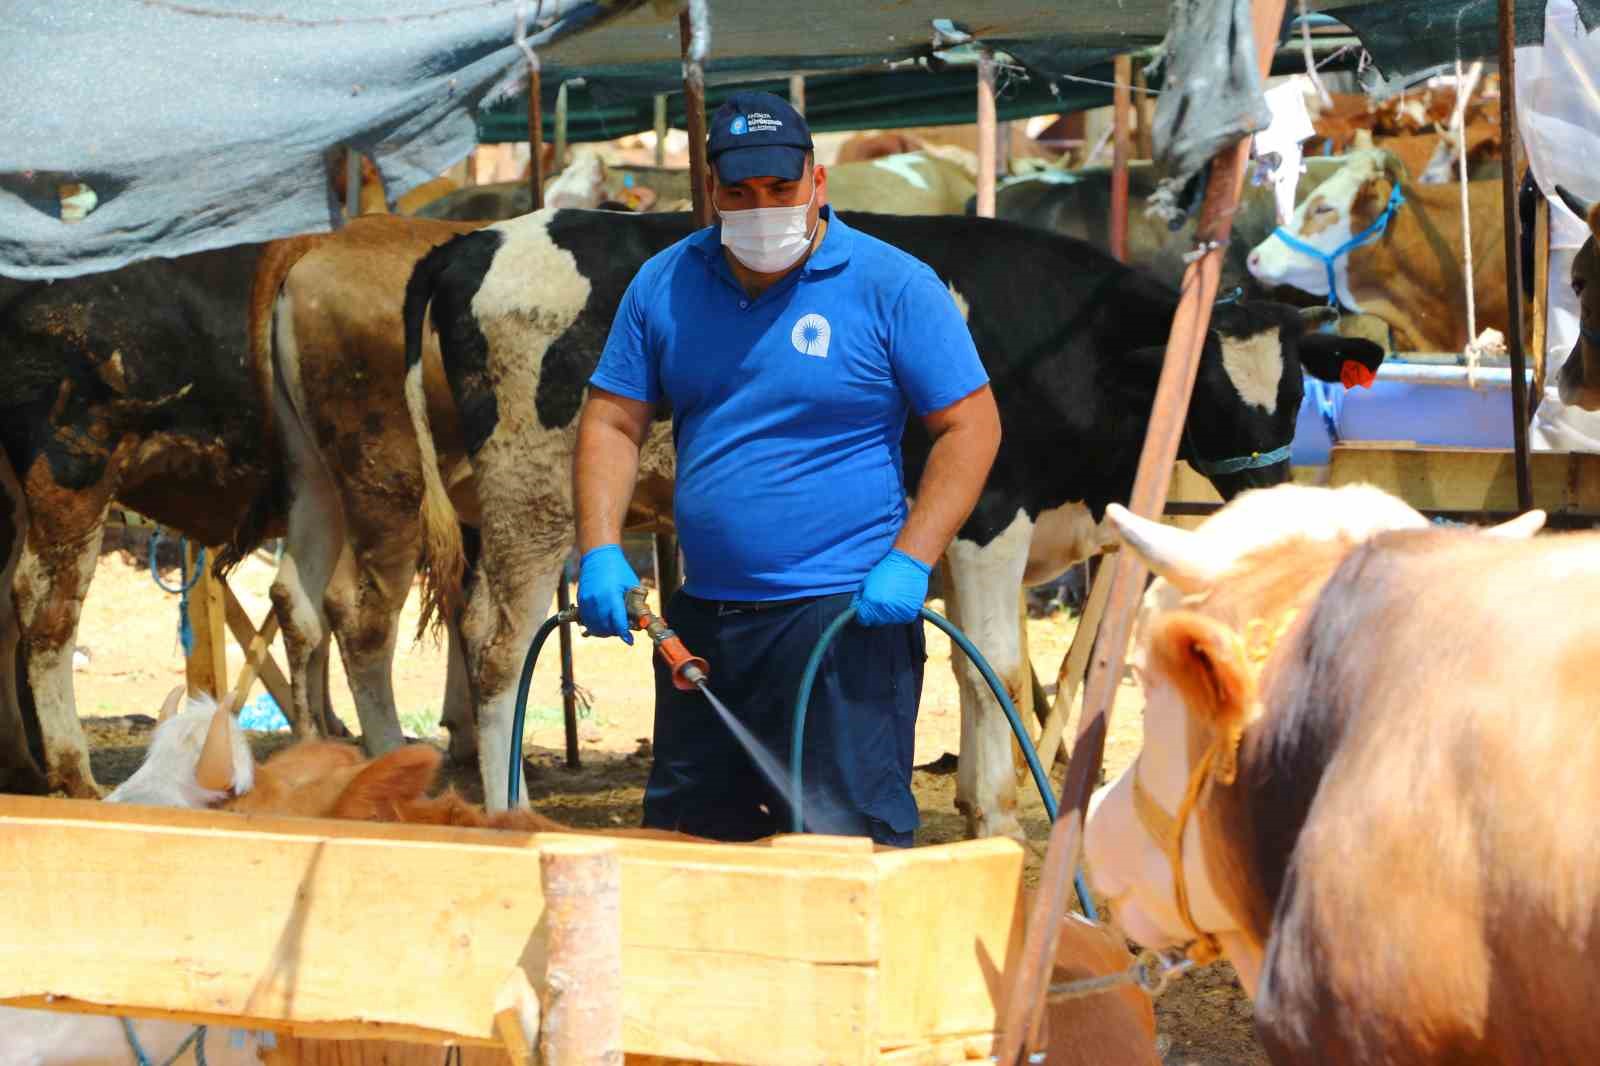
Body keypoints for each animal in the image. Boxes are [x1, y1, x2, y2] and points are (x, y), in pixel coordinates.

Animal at [396, 209, 1376, 838]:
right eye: (1208, 391)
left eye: (1296, 389)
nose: (1270, 492)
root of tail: (471, 240)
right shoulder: (989, 519)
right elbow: (997, 672)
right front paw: (997, 818)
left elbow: (993, 667)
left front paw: (991, 798)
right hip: (535, 498)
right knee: (498, 647)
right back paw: (510, 810)